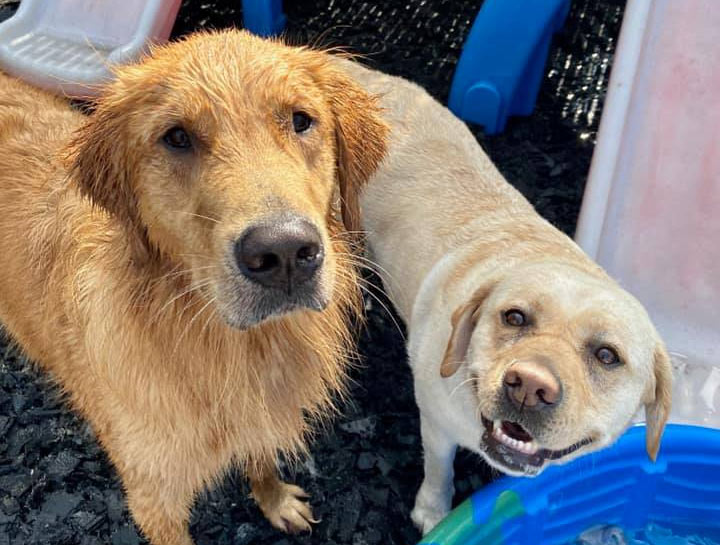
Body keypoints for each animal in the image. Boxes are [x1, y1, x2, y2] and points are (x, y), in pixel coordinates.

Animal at [0, 30, 388, 544]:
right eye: (177, 137)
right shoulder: (152, 496)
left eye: (301, 120)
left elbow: (261, 457)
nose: (284, 252)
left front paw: (275, 500)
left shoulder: (258, 413)